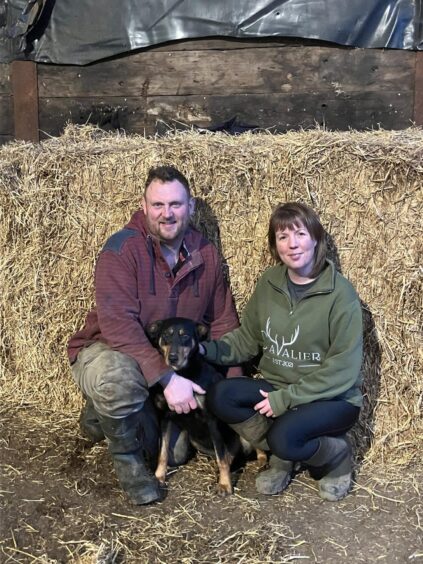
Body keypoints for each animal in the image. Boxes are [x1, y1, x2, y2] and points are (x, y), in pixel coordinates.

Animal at [146, 316, 260, 496]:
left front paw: (225, 484)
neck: (184, 374)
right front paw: (159, 476)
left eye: (185, 335)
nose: (172, 358)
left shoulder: (211, 420)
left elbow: (221, 457)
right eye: (166, 335)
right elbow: (162, 452)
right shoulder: (165, 418)